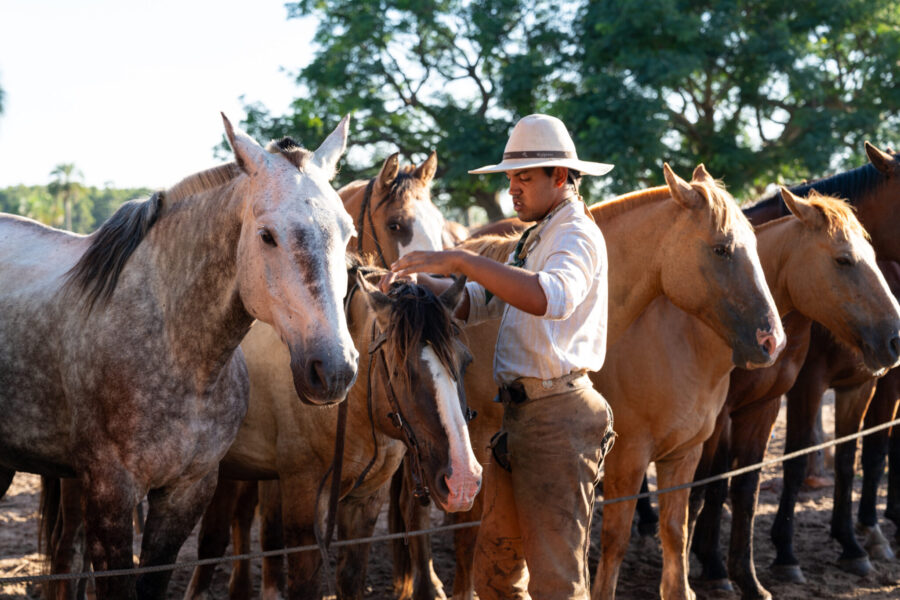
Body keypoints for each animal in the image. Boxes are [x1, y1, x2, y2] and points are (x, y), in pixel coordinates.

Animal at [0, 115, 358, 599]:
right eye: (267, 235)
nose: (334, 369)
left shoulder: (187, 492)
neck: (179, 351)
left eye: (348, 232)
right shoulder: (111, 493)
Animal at [181, 263, 480, 600]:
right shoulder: (304, 507)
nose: (463, 481)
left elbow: (350, 579)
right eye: (400, 369)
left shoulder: (365, 504)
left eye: (465, 361)